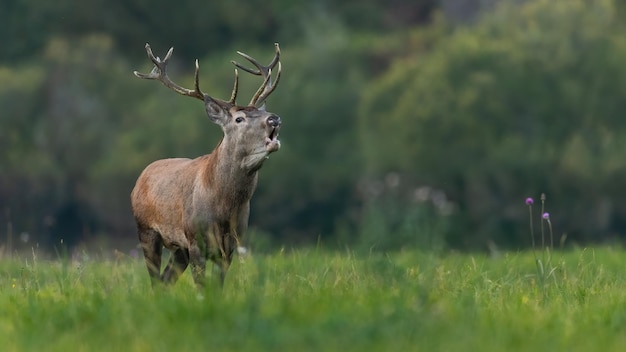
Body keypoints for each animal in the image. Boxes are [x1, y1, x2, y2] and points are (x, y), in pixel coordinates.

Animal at [129, 42, 280, 288]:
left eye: (263, 111)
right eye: (239, 118)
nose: (274, 119)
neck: (223, 207)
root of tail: (140, 178)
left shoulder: (231, 246)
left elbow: (217, 287)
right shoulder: (195, 240)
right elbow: (201, 286)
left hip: (179, 249)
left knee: (165, 281)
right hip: (146, 230)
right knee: (155, 281)